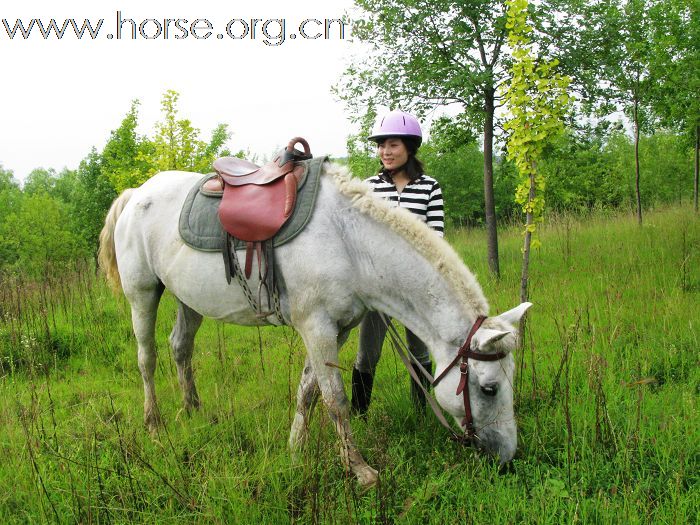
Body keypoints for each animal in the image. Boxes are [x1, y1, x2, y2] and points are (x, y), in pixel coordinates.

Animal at [98, 162, 532, 486]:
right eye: (489, 388)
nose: (508, 457)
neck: (349, 241)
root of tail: (136, 193)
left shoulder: (335, 330)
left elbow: (307, 390)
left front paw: (295, 450)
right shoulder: (317, 328)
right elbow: (335, 400)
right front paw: (360, 471)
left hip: (188, 299)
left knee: (180, 347)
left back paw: (193, 410)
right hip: (142, 293)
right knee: (147, 358)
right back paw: (154, 426)